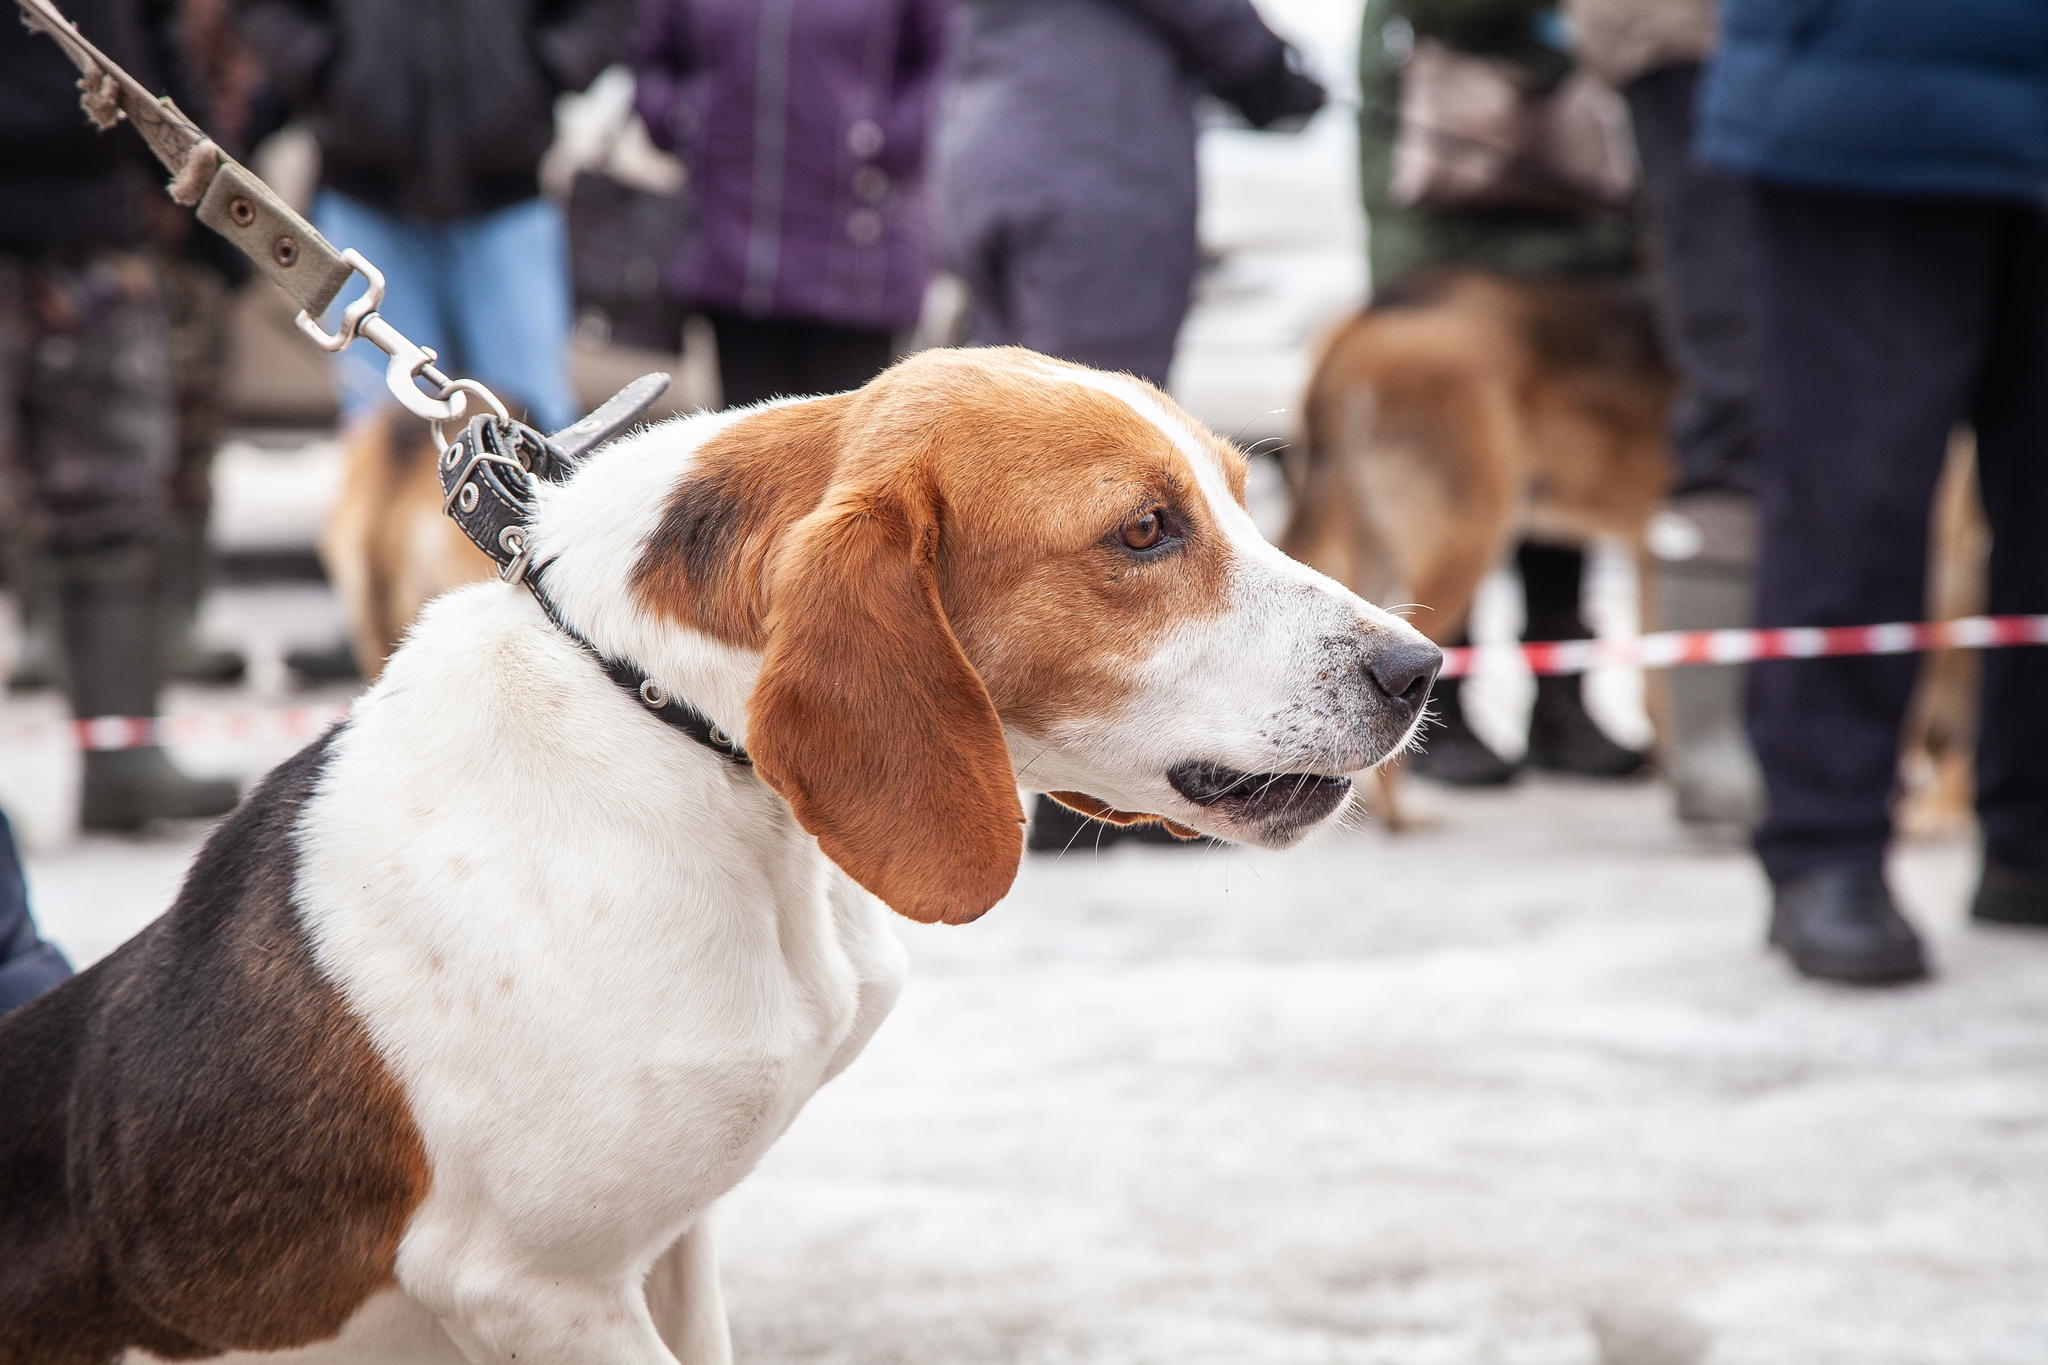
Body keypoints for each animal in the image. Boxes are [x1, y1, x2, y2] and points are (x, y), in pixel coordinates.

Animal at [0, 347, 1441, 1365]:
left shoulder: (672, 1239)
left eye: (1237, 502)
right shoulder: (537, 1284)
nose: (1421, 667)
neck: (675, 745)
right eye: (1143, 532)